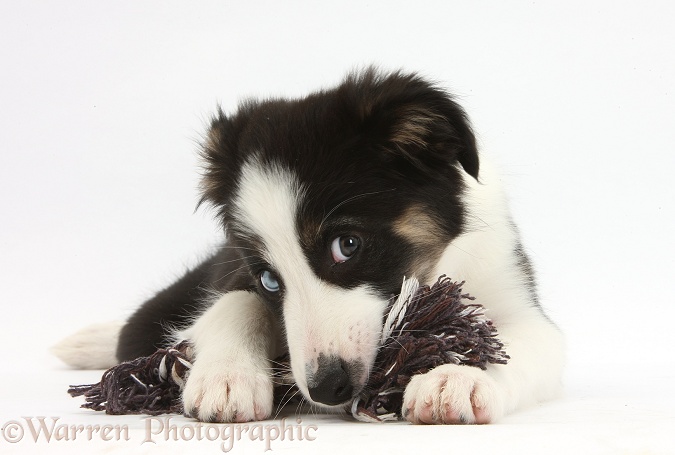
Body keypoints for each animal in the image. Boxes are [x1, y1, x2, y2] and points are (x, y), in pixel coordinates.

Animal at [55, 67, 564, 424]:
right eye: (268, 279)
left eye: (347, 244)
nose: (327, 388)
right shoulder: (233, 272)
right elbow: (234, 304)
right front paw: (226, 376)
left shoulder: (518, 297)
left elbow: (515, 342)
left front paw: (458, 377)